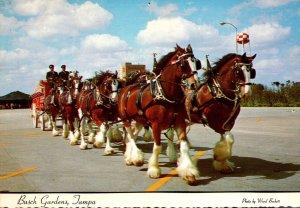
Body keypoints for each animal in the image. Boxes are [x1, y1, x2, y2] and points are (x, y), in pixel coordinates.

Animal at [117, 44, 202, 184]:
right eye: (183, 64)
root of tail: (126, 88)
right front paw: (153, 170)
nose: (194, 84)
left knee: (133, 135)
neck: (164, 94)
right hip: (126, 119)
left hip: (139, 120)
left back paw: (130, 157)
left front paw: (189, 172)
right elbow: (157, 147)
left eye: (196, 63)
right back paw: (136, 158)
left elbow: (184, 146)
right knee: (130, 135)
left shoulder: (180, 122)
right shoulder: (155, 124)